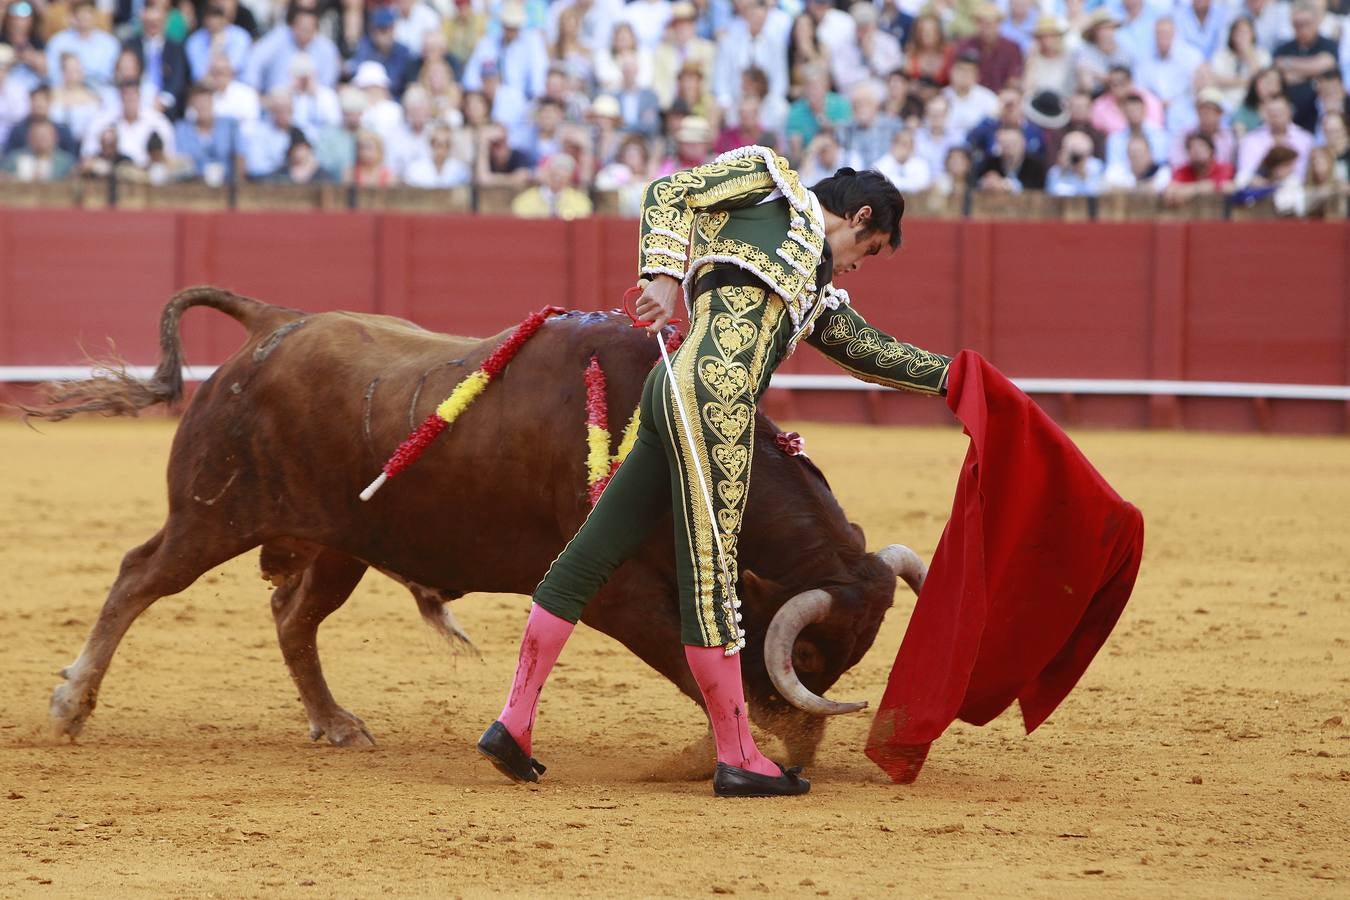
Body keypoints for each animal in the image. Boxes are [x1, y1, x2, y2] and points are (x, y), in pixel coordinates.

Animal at [31, 290, 923, 766]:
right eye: (809, 656)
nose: (805, 749)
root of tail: (270, 324)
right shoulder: (617, 591)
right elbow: (686, 658)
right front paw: (759, 745)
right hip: (213, 513)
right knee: (139, 575)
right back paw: (71, 706)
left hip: (341, 544)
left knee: (292, 616)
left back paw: (335, 722)